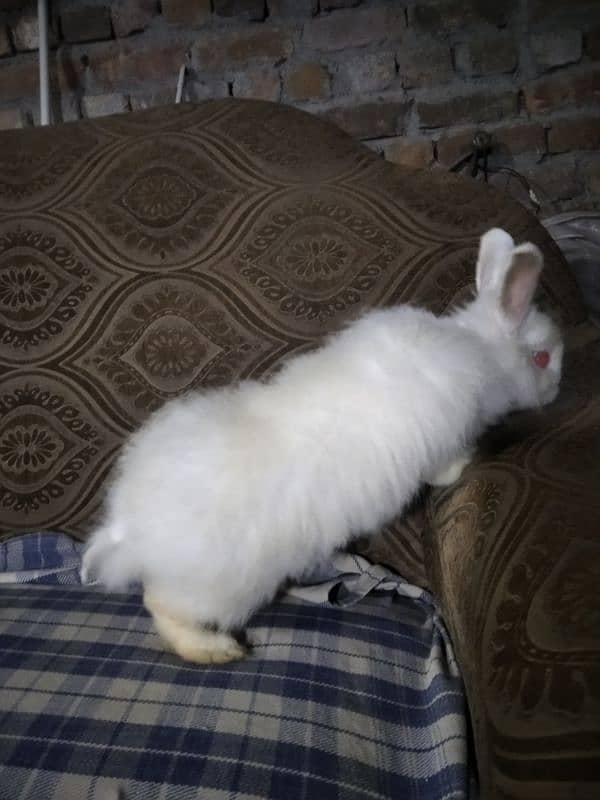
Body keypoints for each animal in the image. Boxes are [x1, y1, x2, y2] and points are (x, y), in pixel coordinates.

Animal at [83, 227, 564, 664]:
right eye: (543, 358)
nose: (558, 389)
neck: (481, 350)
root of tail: (128, 527)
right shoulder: (443, 436)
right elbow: (444, 467)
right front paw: (463, 466)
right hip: (218, 589)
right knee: (162, 607)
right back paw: (217, 651)